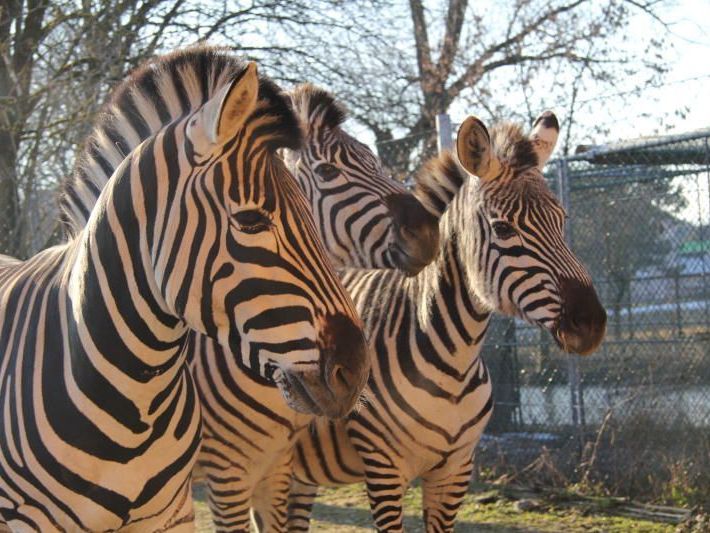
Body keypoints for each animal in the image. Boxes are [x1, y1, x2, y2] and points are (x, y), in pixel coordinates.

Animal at [286, 112, 608, 532]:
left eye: (561, 220)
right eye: (503, 229)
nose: (592, 323)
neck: (455, 359)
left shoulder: (456, 469)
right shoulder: (383, 467)